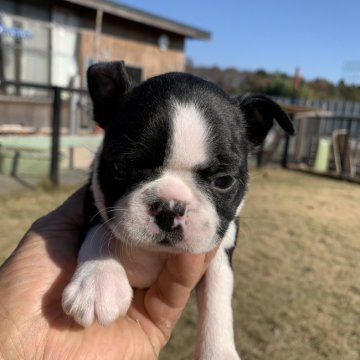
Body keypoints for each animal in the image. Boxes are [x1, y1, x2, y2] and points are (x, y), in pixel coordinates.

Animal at [61, 60, 292, 358]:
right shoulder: (93, 193)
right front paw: (98, 282)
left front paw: (218, 351)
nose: (169, 208)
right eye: (122, 168)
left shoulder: (222, 245)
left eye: (224, 181)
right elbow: (100, 228)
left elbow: (217, 296)